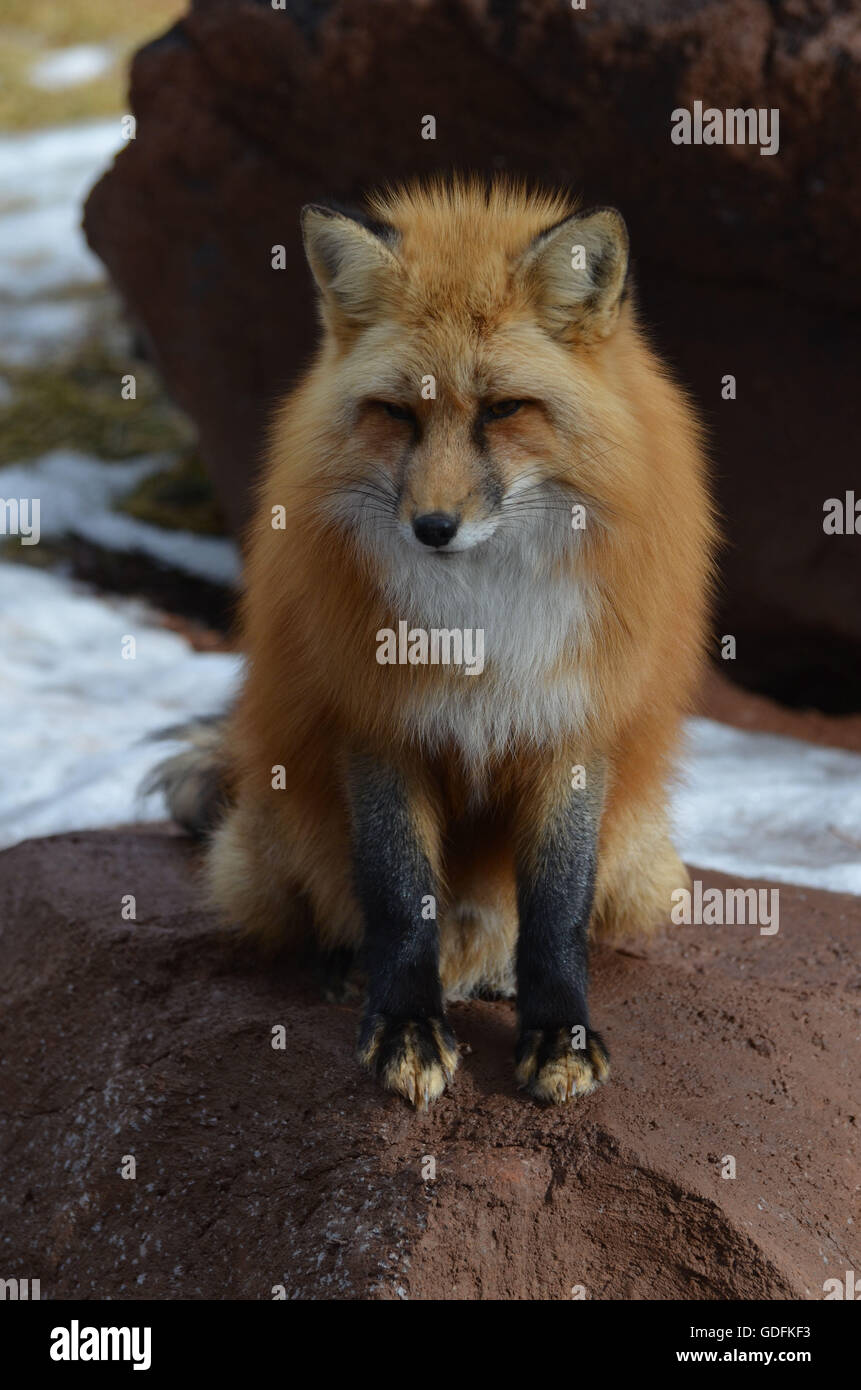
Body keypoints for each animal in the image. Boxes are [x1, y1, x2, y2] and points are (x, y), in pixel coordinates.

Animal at [149, 178, 716, 1109]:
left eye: (503, 410)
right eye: (396, 413)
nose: (433, 528)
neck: (477, 618)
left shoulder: (570, 724)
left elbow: (557, 911)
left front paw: (557, 1033)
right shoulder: (378, 722)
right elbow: (396, 893)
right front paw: (404, 1027)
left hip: (646, 864)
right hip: (265, 838)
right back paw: (350, 967)